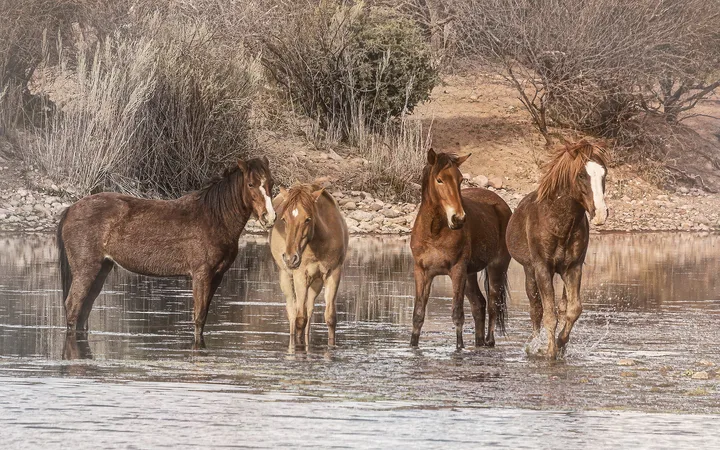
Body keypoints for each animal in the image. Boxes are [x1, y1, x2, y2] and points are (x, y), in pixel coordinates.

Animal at [57, 157, 276, 344]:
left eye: (271, 184)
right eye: (250, 184)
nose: (270, 217)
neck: (215, 218)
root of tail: (70, 209)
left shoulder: (217, 276)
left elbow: (203, 318)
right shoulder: (201, 275)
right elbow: (199, 318)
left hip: (103, 268)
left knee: (83, 310)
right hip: (86, 269)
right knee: (73, 307)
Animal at [270, 183, 348, 349]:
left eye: (307, 219)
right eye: (284, 219)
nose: (290, 258)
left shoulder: (334, 273)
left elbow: (330, 318)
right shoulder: (300, 275)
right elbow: (300, 319)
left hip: (316, 283)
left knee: (309, 309)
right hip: (286, 277)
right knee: (292, 312)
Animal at [410, 148, 512, 349]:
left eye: (460, 179)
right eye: (439, 179)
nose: (458, 218)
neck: (434, 232)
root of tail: (501, 204)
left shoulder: (457, 270)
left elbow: (457, 315)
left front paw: (459, 347)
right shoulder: (422, 271)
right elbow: (418, 315)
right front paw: (412, 346)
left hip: (496, 267)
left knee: (493, 303)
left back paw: (489, 341)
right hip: (470, 274)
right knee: (479, 304)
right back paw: (479, 342)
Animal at [506, 140, 609, 359]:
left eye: (604, 173)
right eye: (581, 175)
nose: (600, 214)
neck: (560, 222)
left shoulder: (573, 268)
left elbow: (573, 309)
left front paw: (561, 343)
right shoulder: (542, 268)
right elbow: (548, 314)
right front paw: (549, 351)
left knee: (561, 306)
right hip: (530, 271)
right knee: (535, 309)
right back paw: (534, 345)